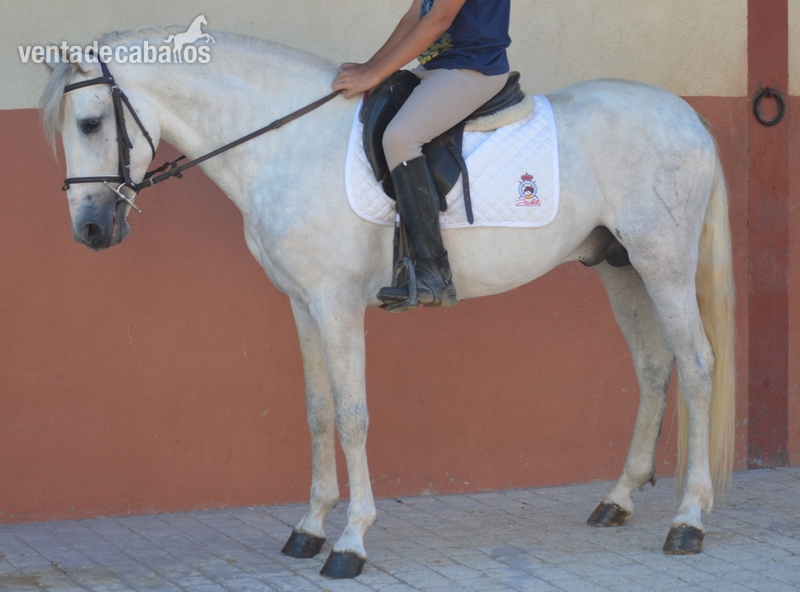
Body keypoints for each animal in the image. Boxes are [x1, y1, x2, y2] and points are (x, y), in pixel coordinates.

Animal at [41, 28, 735, 579]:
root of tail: (689, 117)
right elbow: (318, 412)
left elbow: (353, 416)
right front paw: (309, 528)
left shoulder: (336, 304)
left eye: (90, 123)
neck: (287, 142)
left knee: (698, 366)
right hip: (620, 266)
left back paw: (688, 522)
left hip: (664, 263)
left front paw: (350, 542)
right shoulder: (302, 305)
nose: (90, 231)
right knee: (654, 366)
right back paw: (618, 500)